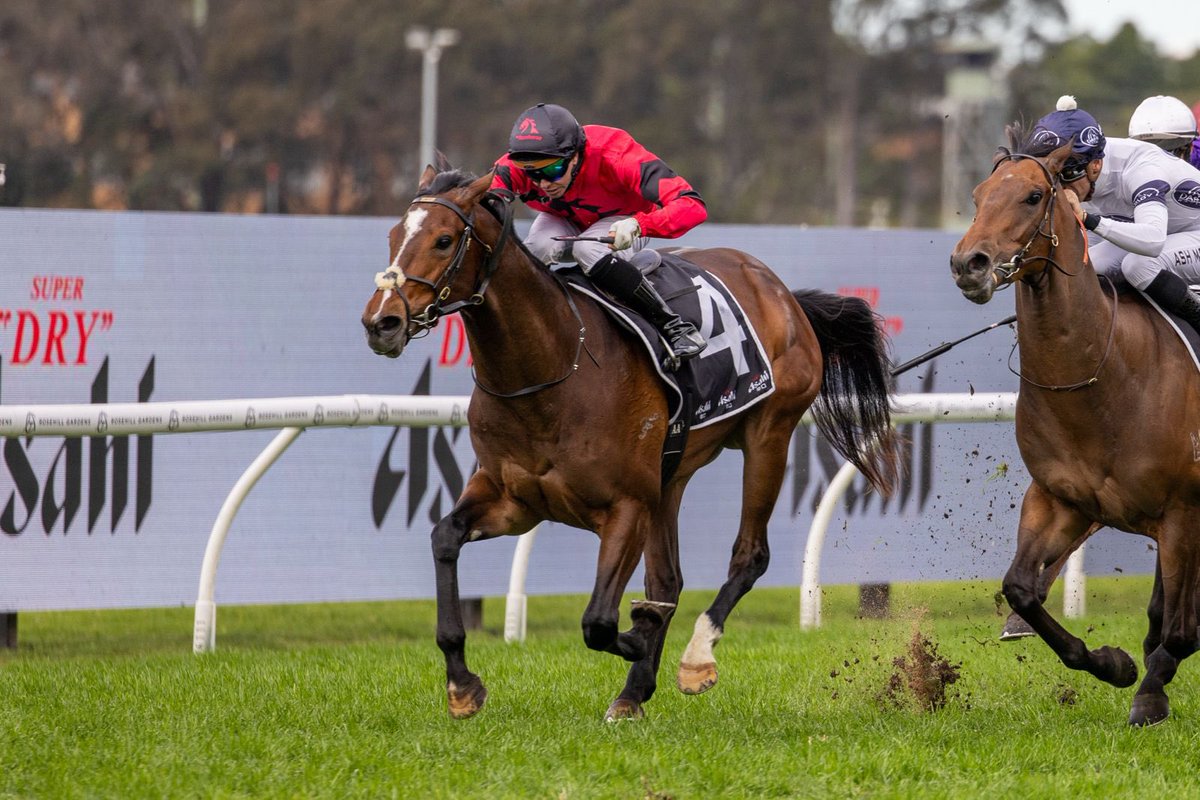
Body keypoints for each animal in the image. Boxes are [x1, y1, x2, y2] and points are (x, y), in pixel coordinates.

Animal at [361, 163, 900, 721]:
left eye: (444, 240)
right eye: (394, 236)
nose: (382, 322)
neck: (553, 368)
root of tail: (782, 292)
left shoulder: (625, 506)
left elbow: (599, 621)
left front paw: (642, 635)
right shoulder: (514, 501)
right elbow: (444, 537)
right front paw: (462, 685)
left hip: (769, 434)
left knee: (749, 555)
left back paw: (695, 657)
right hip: (671, 474)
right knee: (668, 579)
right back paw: (632, 692)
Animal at [949, 131, 1200, 726]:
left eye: (1034, 196)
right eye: (978, 195)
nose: (969, 263)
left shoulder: (1185, 510)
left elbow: (1180, 630)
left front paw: (1150, 695)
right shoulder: (1059, 498)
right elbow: (1020, 588)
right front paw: (1114, 663)